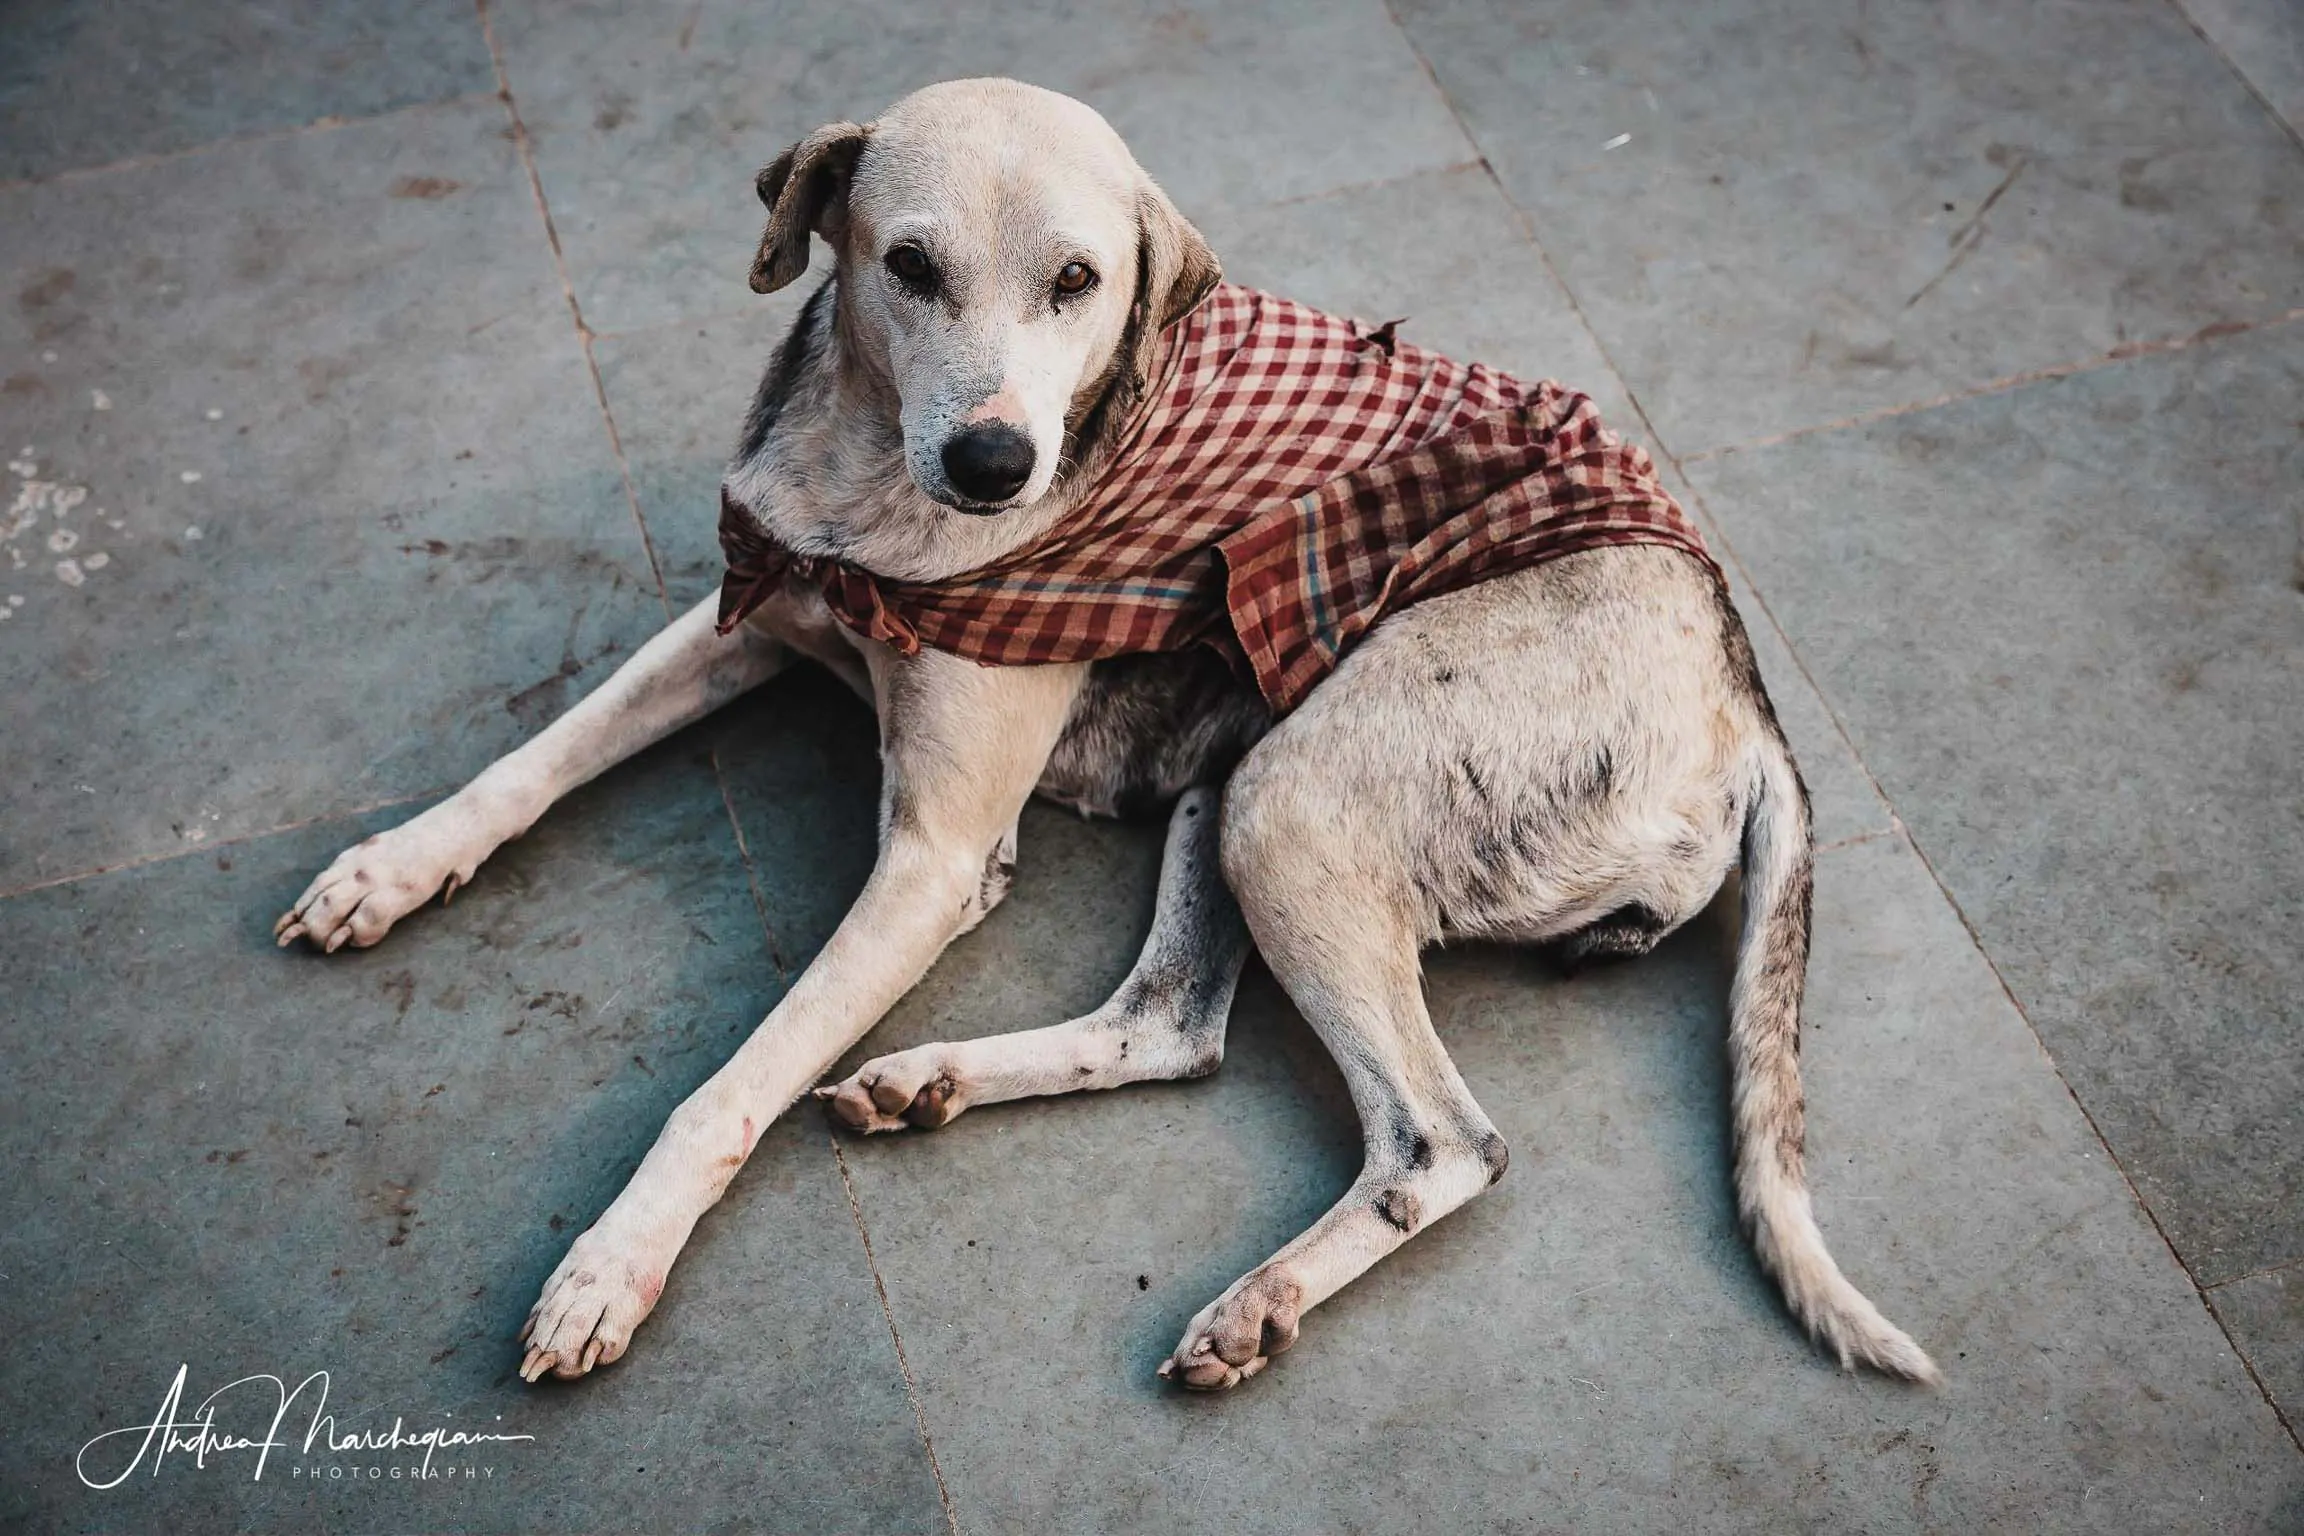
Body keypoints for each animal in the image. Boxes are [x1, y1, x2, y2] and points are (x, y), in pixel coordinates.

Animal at [274, 74, 1944, 1390]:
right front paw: (389, 868)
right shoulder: (755, 602)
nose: (995, 464)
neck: (872, 491)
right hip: (1236, 777)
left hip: (1294, 797)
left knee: (1442, 1143)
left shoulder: (937, 859)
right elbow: (535, 761)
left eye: (1080, 281)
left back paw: (1258, 1299)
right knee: (1174, 1026)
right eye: (908, 265)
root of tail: (1746, 694)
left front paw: (610, 1265)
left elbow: (724, 1089)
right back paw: (935, 1081)